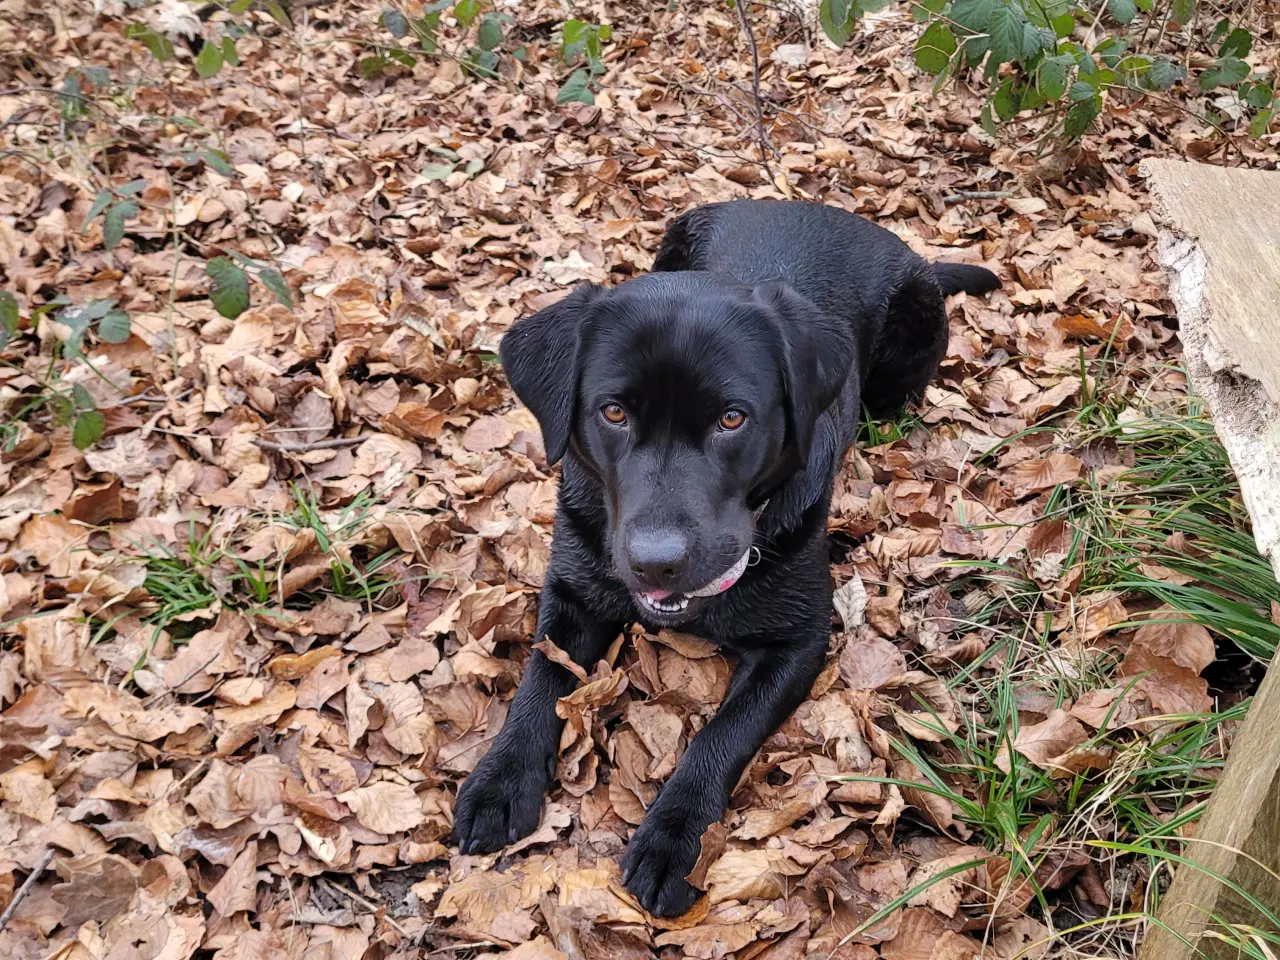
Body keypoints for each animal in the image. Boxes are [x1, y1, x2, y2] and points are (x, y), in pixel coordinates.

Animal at [450, 199, 998, 921]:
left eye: (732, 419)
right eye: (613, 411)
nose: (657, 562)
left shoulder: (800, 640)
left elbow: (722, 734)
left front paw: (675, 839)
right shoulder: (572, 590)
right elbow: (540, 679)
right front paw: (500, 780)